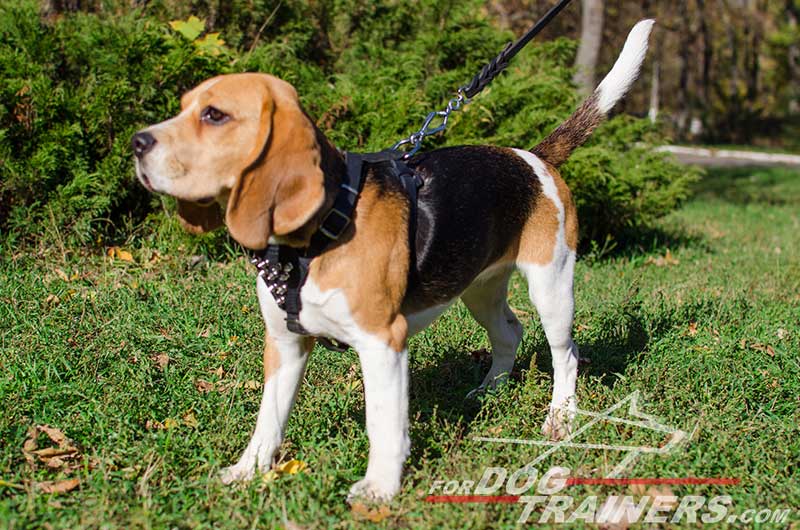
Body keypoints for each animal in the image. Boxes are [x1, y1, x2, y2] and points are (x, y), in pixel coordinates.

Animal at [133, 20, 656, 500]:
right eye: (183, 107)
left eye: (214, 115)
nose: (138, 143)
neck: (320, 230)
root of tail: (533, 157)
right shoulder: (284, 342)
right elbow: (269, 418)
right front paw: (248, 470)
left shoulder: (383, 341)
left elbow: (383, 423)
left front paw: (380, 488)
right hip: (479, 289)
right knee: (510, 332)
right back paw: (489, 390)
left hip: (552, 287)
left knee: (566, 355)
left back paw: (560, 419)